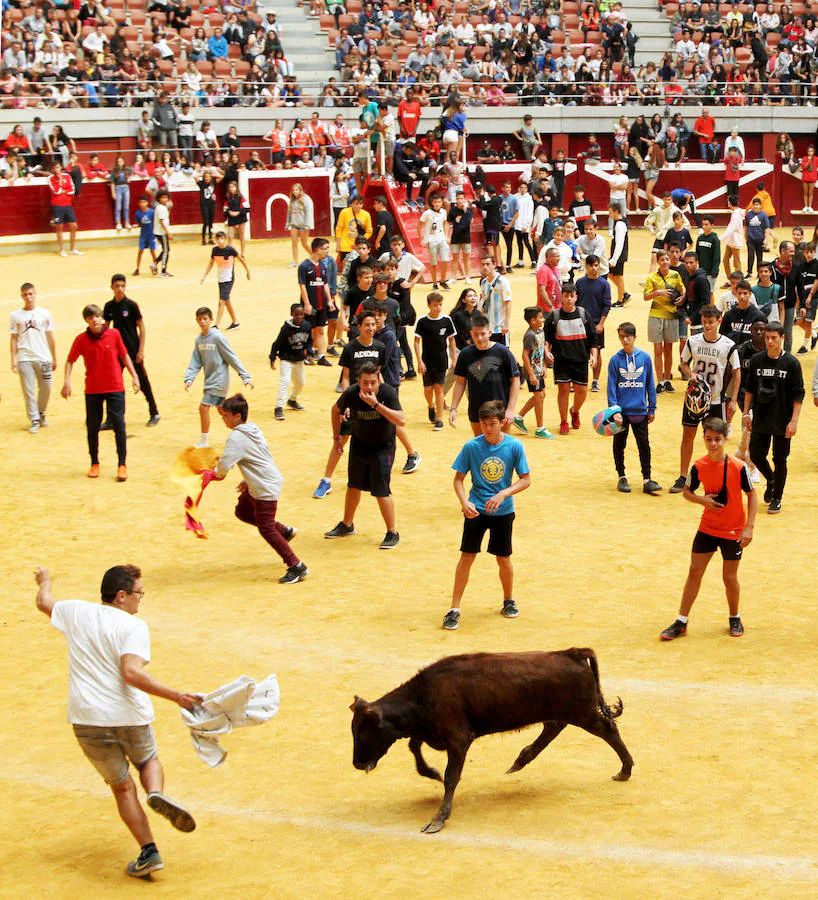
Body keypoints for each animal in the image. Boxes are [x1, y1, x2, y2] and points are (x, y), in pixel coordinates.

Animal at [350, 648, 632, 828]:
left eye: (364, 731)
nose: (357, 763)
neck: (423, 696)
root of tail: (571, 653)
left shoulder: (458, 739)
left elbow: (451, 776)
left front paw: (438, 818)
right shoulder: (430, 732)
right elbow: (414, 746)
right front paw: (431, 773)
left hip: (583, 713)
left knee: (608, 730)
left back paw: (624, 770)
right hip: (564, 712)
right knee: (554, 727)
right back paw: (520, 760)